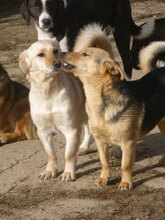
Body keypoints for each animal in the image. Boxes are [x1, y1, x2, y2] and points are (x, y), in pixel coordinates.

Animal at [19, 39, 91, 180]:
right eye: (40, 54)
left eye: (55, 51)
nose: (57, 64)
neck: (48, 91)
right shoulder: (43, 131)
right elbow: (51, 154)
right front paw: (50, 171)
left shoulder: (71, 129)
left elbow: (68, 154)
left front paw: (68, 172)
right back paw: (84, 147)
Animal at [61, 43, 165, 189]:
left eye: (85, 54)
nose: (61, 52)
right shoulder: (100, 141)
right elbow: (104, 162)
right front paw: (103, 179)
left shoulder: (128, 143)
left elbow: (125, 165)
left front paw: (125, 182)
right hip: (162, 122)